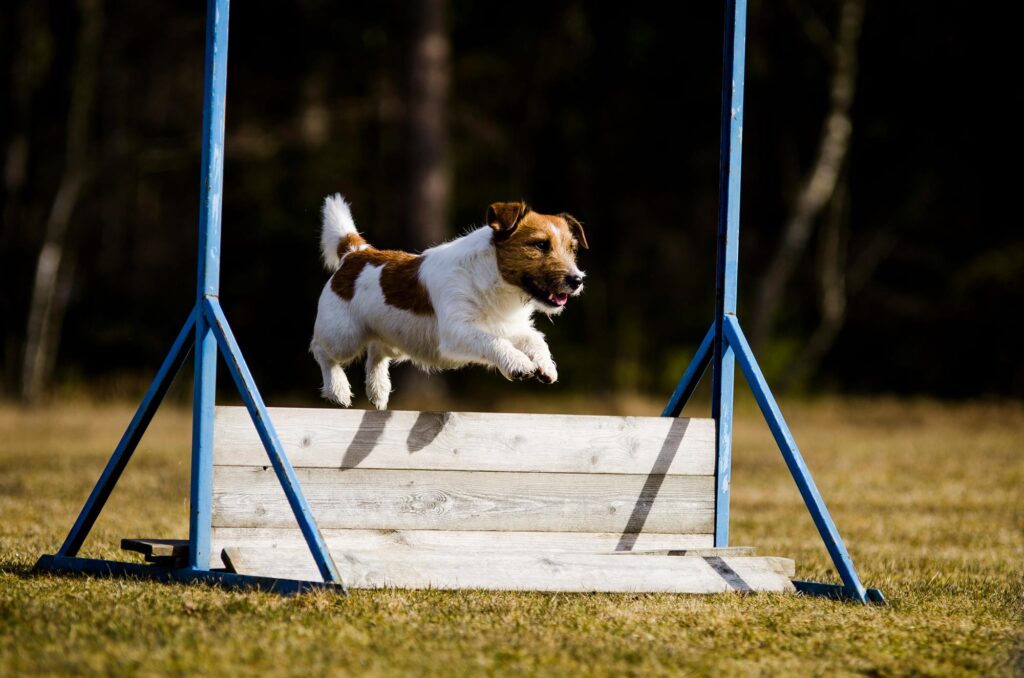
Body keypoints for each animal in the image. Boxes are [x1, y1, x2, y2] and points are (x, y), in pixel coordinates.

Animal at [307, 193, 589, 411]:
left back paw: (379, 389)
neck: (494, 277)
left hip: (397, 336)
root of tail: (355, 253)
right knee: (321, 349)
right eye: (540, 244)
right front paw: (519, 363)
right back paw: (338, 389)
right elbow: (493, 341)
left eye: (572, 249)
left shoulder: (510, 326)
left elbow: (535, 339)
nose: (577, 280)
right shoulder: (458, 331)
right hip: (344, 335)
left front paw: (545, 365)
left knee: (377, 350)